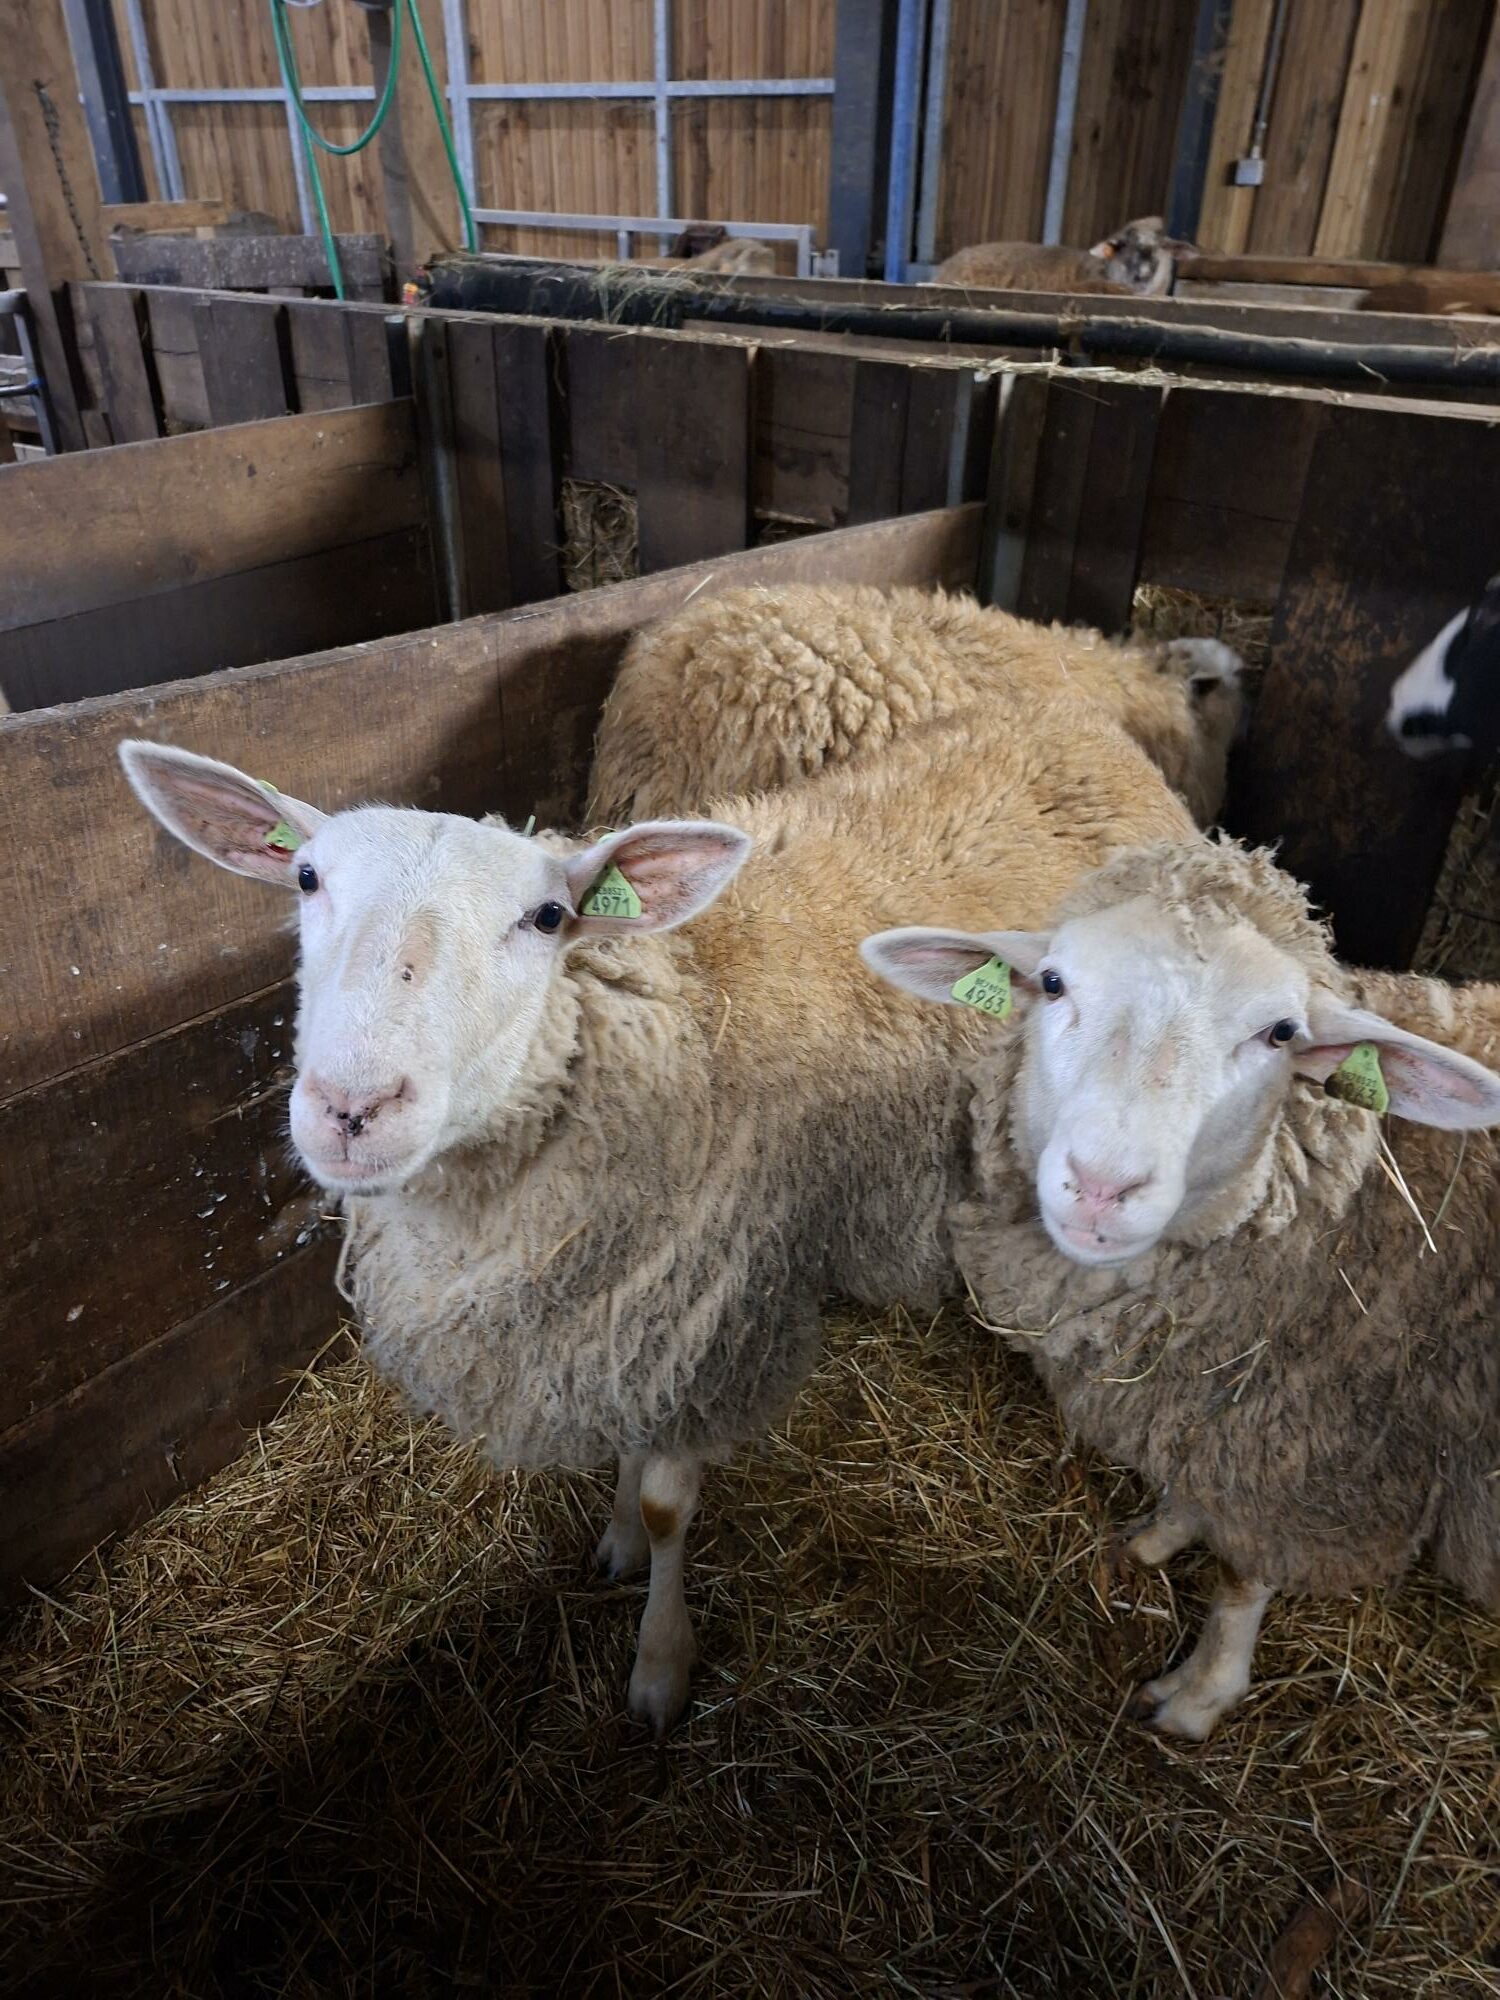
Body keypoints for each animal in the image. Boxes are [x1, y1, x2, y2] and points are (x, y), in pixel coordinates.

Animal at [119, 692, 1198, 1734]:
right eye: (306, 878)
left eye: (547, 915)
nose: (353, 1106)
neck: (662, 1014)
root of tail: (1086, 728)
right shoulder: (628, 1301)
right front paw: (616, 1541)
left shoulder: (707, 1301)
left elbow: (670, 1501)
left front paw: (658, 1664)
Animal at [863, 836, 1500, 1739]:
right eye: (1052, 982)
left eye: (1281, 1033)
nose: (1102, 1184)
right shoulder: (1221, 1414)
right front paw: (1161, 1533)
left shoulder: (1310, 1456)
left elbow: (1242, 1578)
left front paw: (1199, 1695)